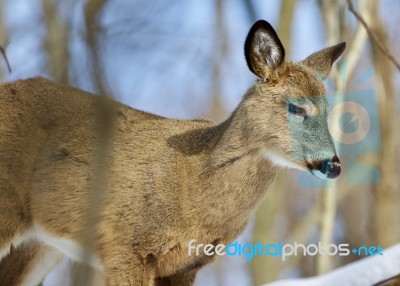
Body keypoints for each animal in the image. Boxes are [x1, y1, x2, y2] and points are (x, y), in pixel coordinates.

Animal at [0, 19, 344, 284]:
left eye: (329, 110)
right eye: (297, 107)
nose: (334, 164)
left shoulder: (187, 265)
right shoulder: (126, 245)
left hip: (41, 245)